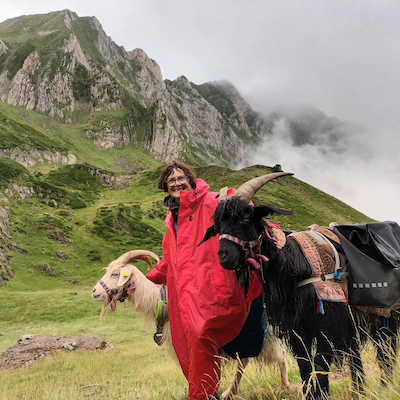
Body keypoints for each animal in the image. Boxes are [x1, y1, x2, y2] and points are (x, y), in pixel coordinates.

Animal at [92, 248, 290, 398]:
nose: (95, 292)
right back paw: (231, 391)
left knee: (278, 356)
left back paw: (284, 385)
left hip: (263, 332)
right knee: (246, 360)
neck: (162, 301)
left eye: (115, 274)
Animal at [200, 173, 400, 400]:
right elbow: (305, 369)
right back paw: (361, 391)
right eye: (218, 224)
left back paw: (384, 387)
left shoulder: (325, 327)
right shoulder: (297, 332)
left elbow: (320, 367)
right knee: (359, 356)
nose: (225, 256)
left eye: (245, 217)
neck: (293, 266)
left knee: (385, 353)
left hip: (385, 319)